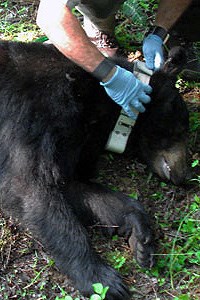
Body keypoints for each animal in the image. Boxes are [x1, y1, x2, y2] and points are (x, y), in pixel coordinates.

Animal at [0, 40, 189, 300]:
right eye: (182, 125)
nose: (185, 176)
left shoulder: (73, 141)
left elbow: (73, 185)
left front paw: (138, 231)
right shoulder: (35, 121)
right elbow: (30, 188)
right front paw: (101, 278)